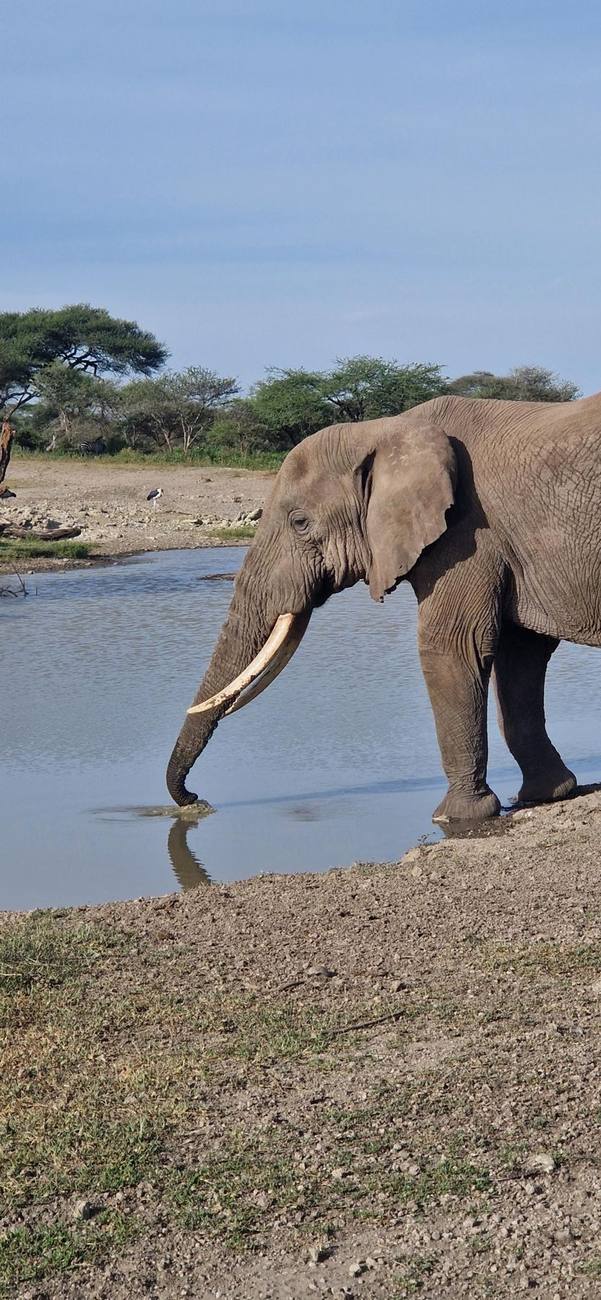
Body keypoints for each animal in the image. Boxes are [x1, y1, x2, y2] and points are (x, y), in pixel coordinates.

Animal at [166, 391, 601, 821]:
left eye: (300, 522)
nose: (196, 801)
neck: (386, 430)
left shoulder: (466, 534)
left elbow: (454, 646)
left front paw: (454, 817)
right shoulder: (507, 549)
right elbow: (521, 651)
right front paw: (546, 794)